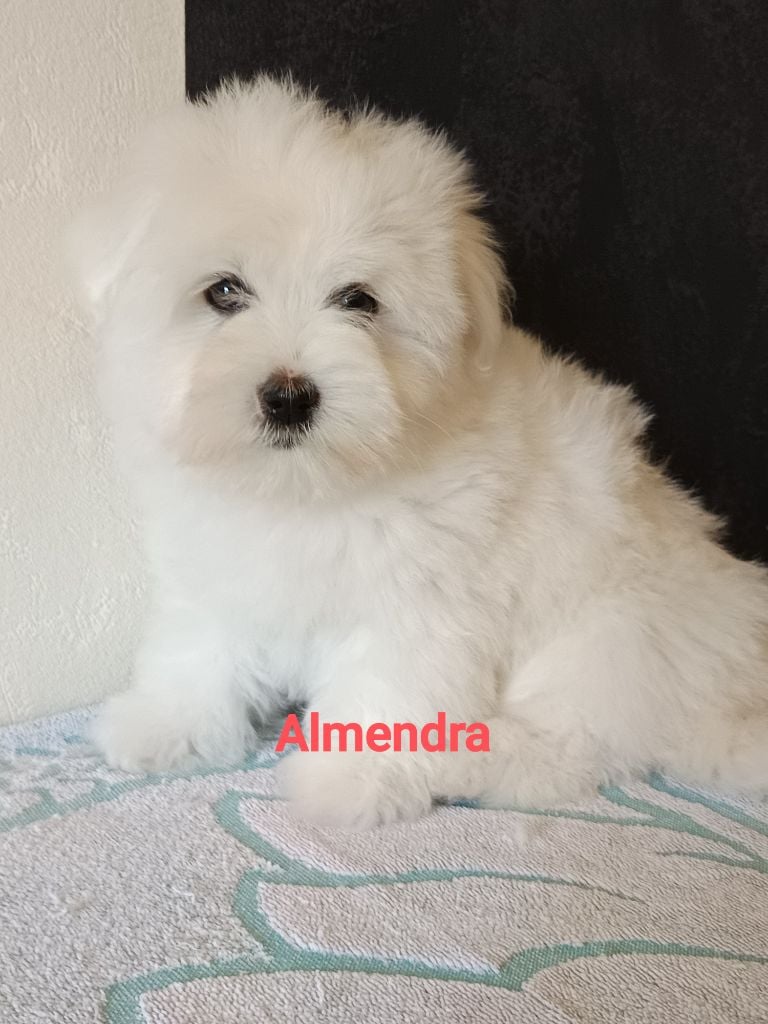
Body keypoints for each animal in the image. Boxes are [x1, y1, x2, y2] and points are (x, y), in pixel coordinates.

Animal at [68, 77, 768, 829]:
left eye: (359, 300)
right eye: (224, 291)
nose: (288, 397)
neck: (302, 490)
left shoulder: (419, 600)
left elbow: (388, 685)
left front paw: (354, 779)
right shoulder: (215, 564)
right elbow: (198, 647)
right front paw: (169, 725)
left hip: (607, 636)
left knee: (569, 744)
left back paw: (473, 759)